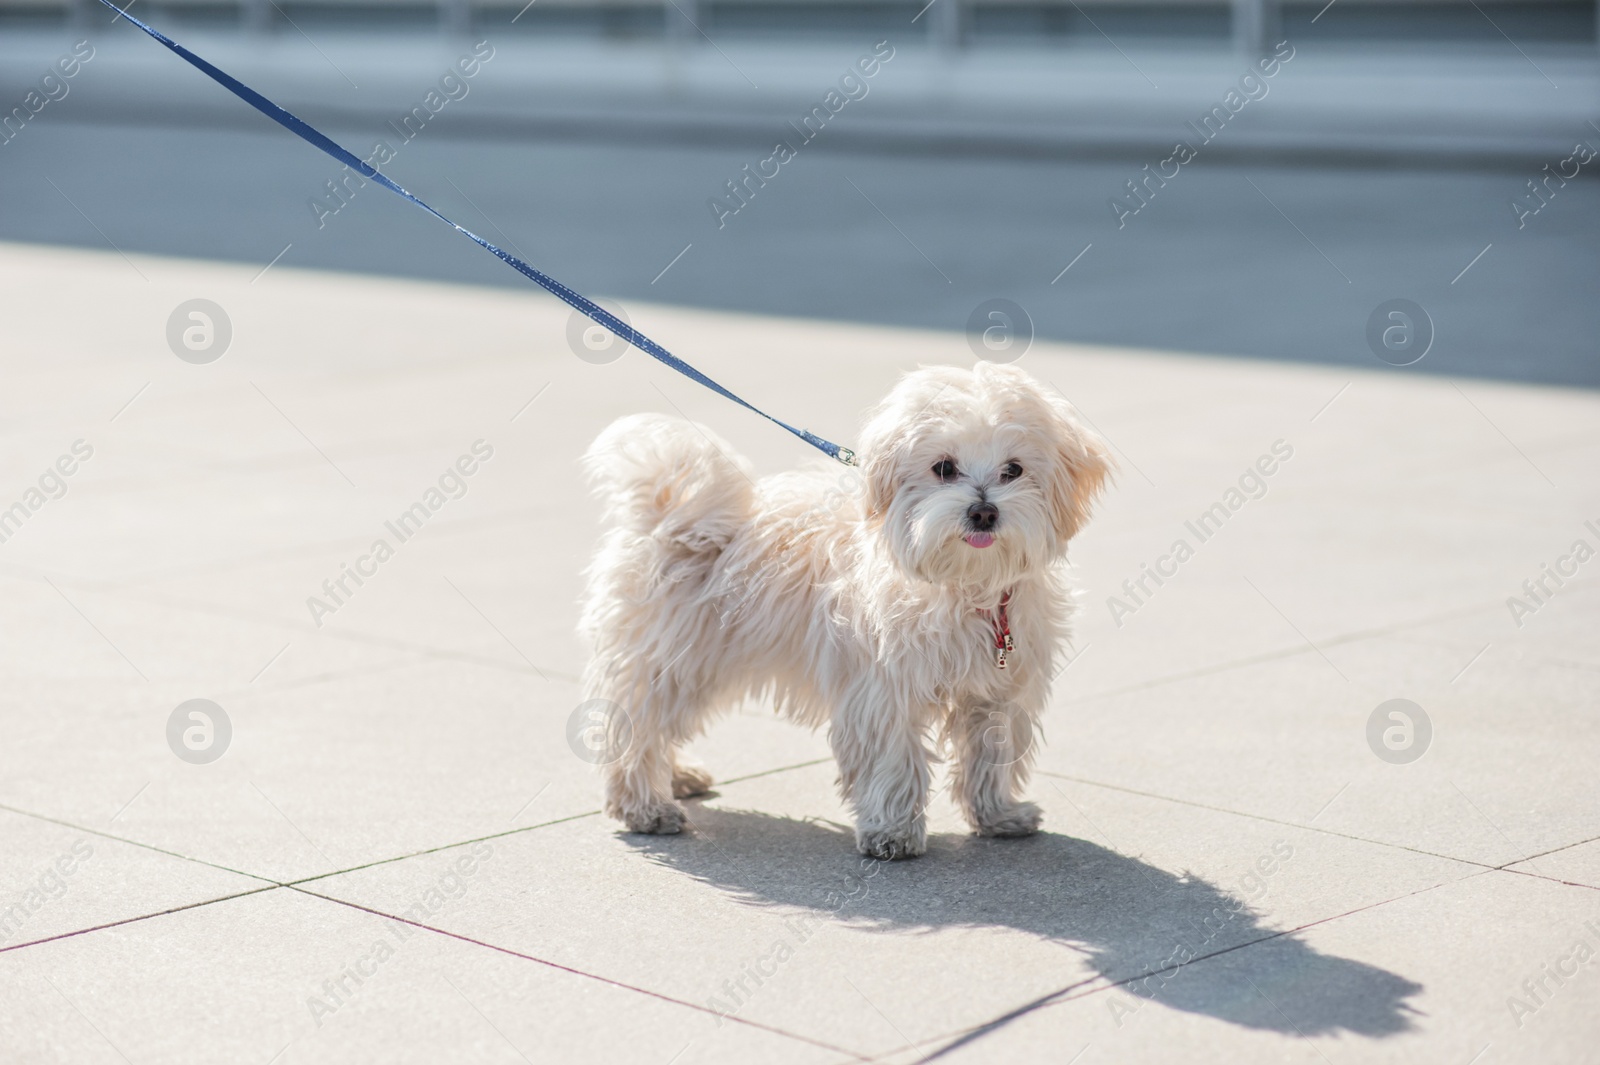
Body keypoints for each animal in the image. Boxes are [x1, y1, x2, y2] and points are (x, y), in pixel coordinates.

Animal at [579, 361, 1113, 857]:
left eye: (1013, 470)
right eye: (944, 467)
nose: (983, 511)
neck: (965, 584)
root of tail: (673, 515)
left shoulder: (999, 691)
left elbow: (989, 753)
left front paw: (997, 813)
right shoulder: (883, 689)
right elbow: (893, 759)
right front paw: (893, 833)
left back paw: (676, 776)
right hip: (672, 659)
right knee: (637, 724)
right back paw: (644, 806)